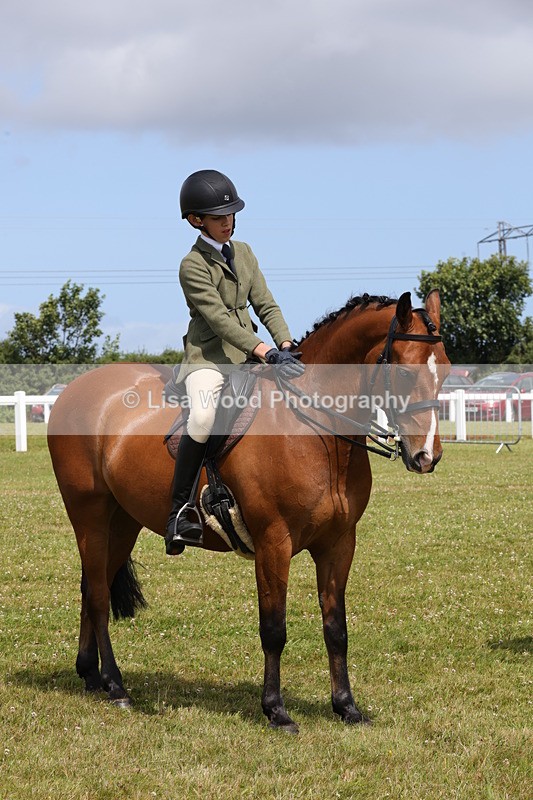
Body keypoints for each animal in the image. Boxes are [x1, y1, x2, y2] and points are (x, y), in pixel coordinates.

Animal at [47, 290, 449, 732]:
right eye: (406, 374)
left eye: (446, 371)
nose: (426, 456)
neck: (316, 431)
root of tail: (75, 388)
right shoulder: (274, 542)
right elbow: (273, 628)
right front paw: (276, 710)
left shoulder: (339, 544)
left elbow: (336, 628)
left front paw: (346, 706)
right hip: (89, 515)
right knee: (99, 595)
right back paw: (115, 686)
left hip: (122, 522)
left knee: (92, 585)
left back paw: (90, 675)